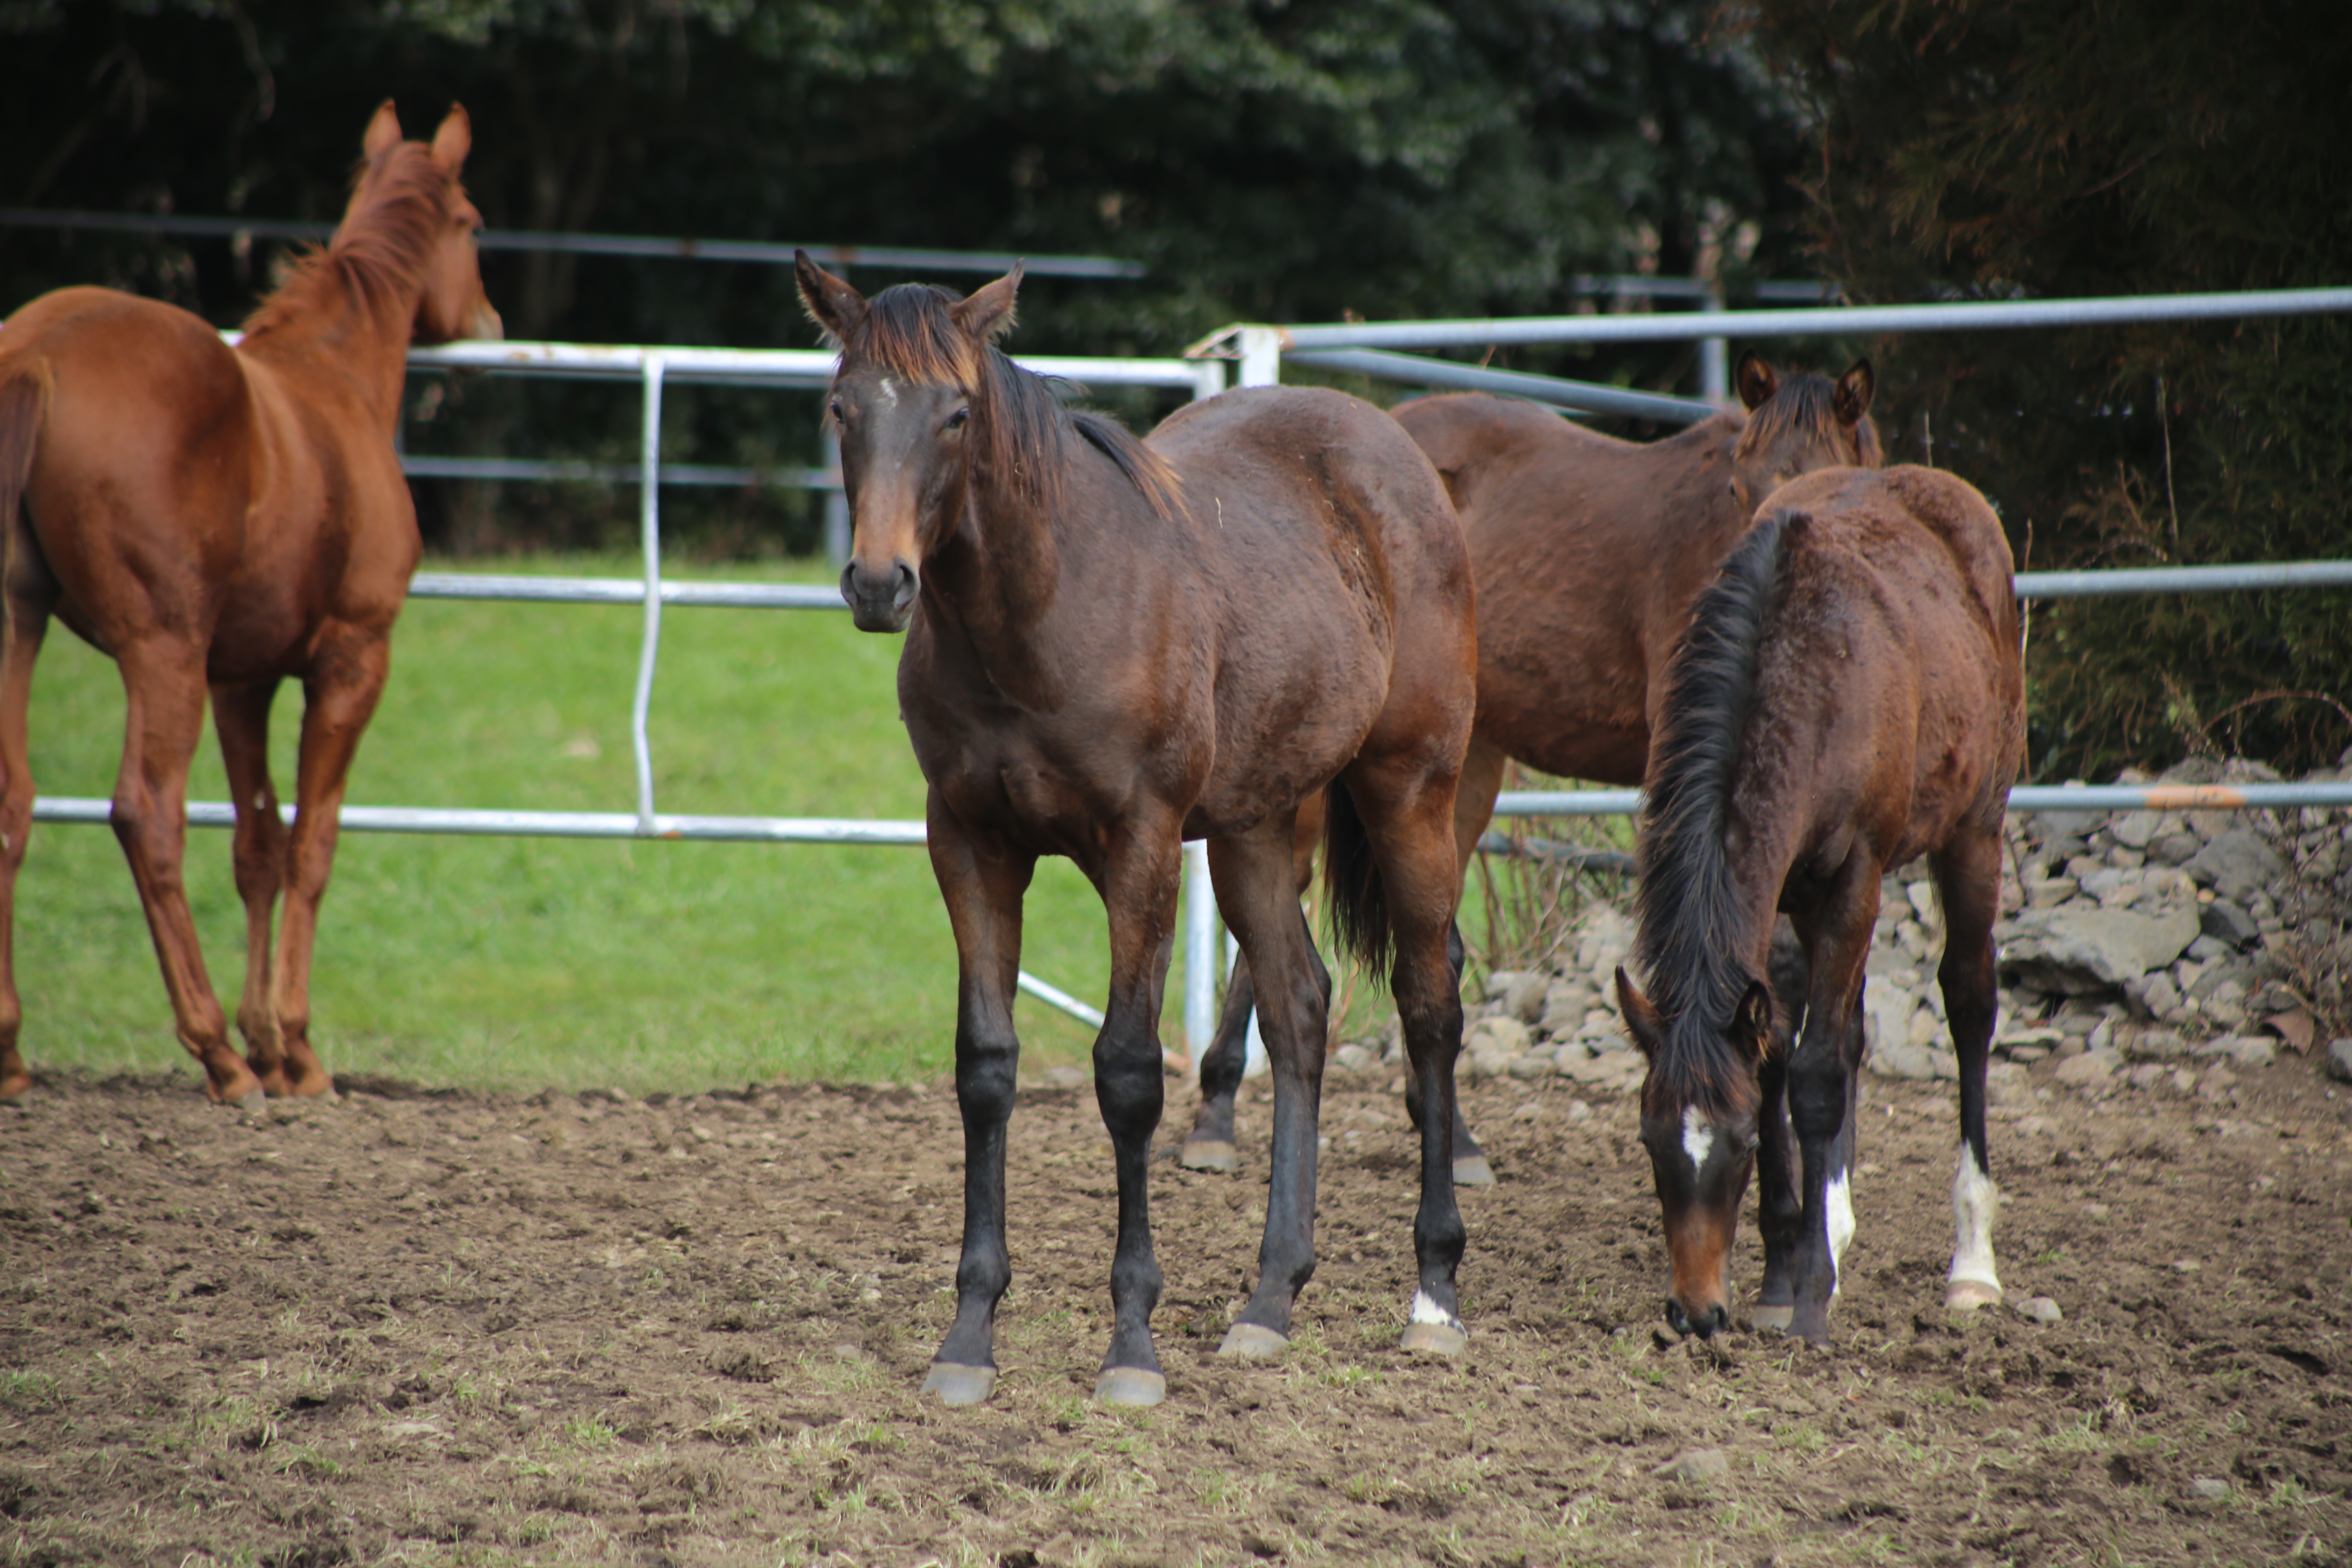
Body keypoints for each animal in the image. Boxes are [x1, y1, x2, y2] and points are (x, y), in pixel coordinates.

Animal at [2, 104, 501, 1105]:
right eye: (470, 223)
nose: (488, 323)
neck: (334, 381)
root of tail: (36, 351)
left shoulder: (242, 681)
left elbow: (258, 849)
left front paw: (270, 1041)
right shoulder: (351, 660)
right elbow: (312, 845)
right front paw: (294, 1051)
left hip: (19, 619)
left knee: (14, 802)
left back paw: (13, 1051)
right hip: (161, 650)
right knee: (147, 814)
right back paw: (216, 1055)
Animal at [800, 255, 1477, 1410]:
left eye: (956, 413)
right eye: (842, 407)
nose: (880, 584)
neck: (1041, 614)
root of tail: (1395, 456)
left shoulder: (1142, 847)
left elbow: (1126, 1074)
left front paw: (1130, 1343)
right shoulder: (969, 845)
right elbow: (986, 1067)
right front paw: (968, 1334)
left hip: (1410, 796)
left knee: (1429, 1007)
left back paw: (1432, 1292)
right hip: (1255, 829)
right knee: (1299, 1011)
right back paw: (1269, 1299)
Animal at [1176, 359, 1872, 1189]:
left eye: (1834, 478)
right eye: (1739, 484)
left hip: (1464, 766)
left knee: (1428, 945)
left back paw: (1450, 1136)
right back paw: (1216, 1116)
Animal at [1618, 465, 2022, 1354]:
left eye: (1737, 1145)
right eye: (1651, 1140)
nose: (1694, 1313)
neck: (1803, 680)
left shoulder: (1853, 882)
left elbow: (1810, 1076)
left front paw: (1808, 1301)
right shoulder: (1774, 900)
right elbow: (1778, 1049)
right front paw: (1783, 1271)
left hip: (1974, 831)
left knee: (1968, 1002)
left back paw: (1973, 1264)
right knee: (1847, 1033)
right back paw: (1832, 1226)